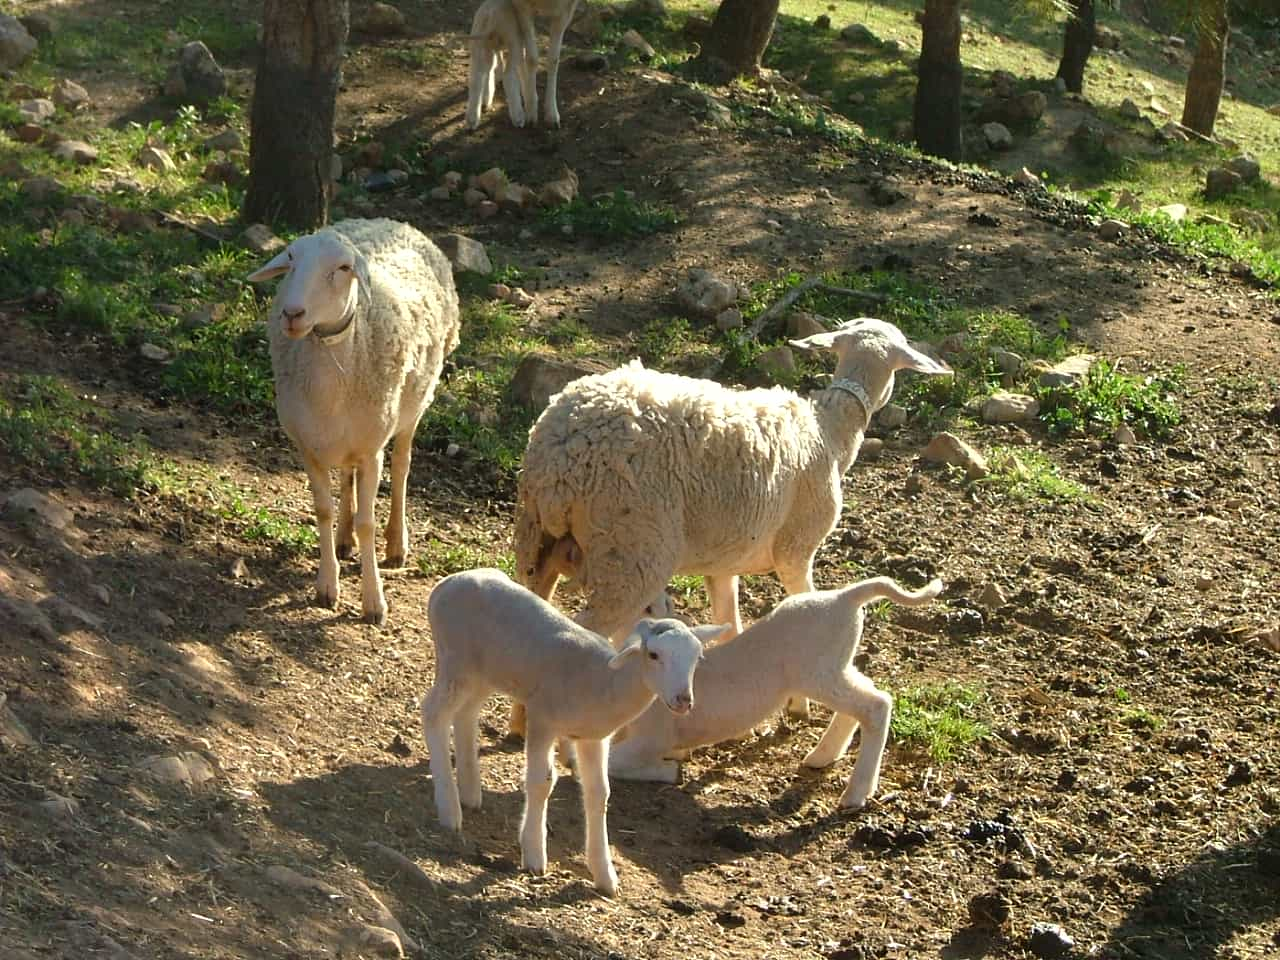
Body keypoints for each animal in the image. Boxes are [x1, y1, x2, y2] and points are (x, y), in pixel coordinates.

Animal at [244, 218, 460, 627]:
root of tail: (390, 221)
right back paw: (344, 540)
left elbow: (367, 522)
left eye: (343, 268)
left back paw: (396, 543)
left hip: (413, 408)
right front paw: (328, 584)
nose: (292, 313)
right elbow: (324, 510)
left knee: (402, 466)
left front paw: (373, 600)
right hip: (346, 439)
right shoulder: (309, 448)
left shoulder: (372, 450)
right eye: (291, 258)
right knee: (347, 477)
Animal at [419, 568, 721, 901]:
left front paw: (605, 875)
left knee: (466, 714)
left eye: (697, 658)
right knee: (433, 713)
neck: (602, 680)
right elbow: (541, 783)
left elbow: (599, 793)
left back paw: (470, 793)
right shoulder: (542, 718)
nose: (683, 701)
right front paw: (534, 854)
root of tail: (447, 583)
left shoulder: (593, 737)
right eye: (654, 655)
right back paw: (450, 809)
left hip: (485, 671)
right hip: (455, 661)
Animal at [465, 0, 535, 130]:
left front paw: (488, 94)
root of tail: (491, 16)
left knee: (477, 78)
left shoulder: (494, 47)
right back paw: (518, 117)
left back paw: (473, 119)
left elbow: (494, 65)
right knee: (509, 75)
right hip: (513, 42)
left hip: (479, 44)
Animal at [509, 320, 952, 727]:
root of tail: (561, 454)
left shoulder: (724, 561)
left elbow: (730, 623)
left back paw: (518, 722)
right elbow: (801, 602)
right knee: (587, 630)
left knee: (534, 611)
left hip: (537, 538)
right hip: (632, 547)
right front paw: (798, 705)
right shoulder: (797, 549)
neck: (828, 433)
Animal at [604, 578, 947, 814]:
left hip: (818, 673)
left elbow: (612, 762)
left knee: (876, 705)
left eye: (696, 657)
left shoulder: (654, 737)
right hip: (835, 666)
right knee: (867, 695)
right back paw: (823, 755)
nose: (684, 701)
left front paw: (666, 771)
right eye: (653, 655)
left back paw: (856, 792)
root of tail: (845, 597)